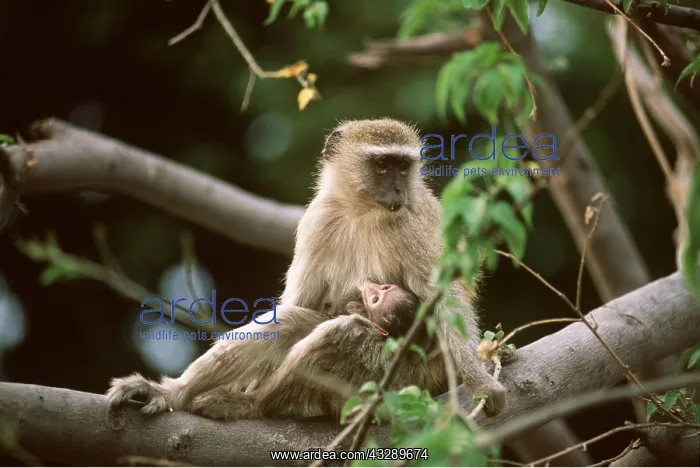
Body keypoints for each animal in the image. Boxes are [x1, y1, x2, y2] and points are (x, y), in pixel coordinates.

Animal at [107, 118, 505, 417]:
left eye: (403, 167)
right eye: (382, 165)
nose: (397, 190)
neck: (361, 212)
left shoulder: (409, 228)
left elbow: (446, 300)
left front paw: (481, 382)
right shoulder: (318, 219)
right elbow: (300, 302)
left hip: (399, 379)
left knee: (344, 333)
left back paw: (253, 405)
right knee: (291, 320)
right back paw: (174, 394)